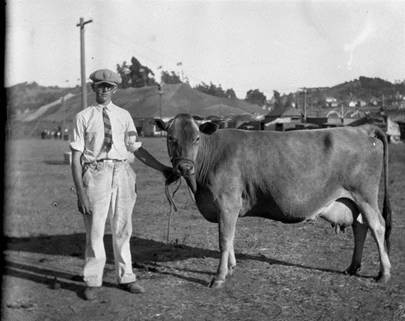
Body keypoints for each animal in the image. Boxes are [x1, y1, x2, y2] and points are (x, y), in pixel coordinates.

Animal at [155, 113, 392, 288]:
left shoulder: (227, 203)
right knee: (360, 227)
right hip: (353, 200)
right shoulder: (229, 208)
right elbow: (230, 238)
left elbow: (224, 240)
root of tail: (361, 129)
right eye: (170, 138)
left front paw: (220, 276)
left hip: (365, 195)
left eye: (196, 138)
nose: (184, 167)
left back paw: (384, 273)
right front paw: (231, 268)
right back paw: (353, 267)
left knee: (377, 226)